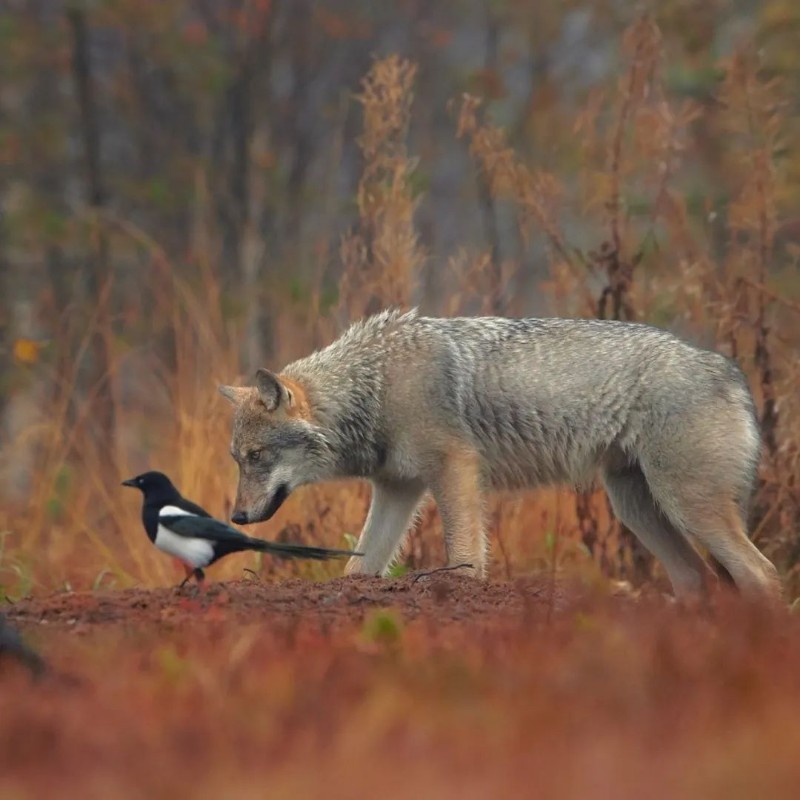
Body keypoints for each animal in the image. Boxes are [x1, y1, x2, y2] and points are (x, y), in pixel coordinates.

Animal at [219, 310, 780, 604]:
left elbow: (464, 556)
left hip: (687, 507)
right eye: (237, 459)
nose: (236, 517)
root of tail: (731, 373)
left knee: (762, 575)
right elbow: (360, 568)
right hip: (639, 510)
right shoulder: (398, 490)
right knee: (698, 579)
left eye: (257, 456)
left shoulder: (456, 471)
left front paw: (462, 595)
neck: (373, 385)